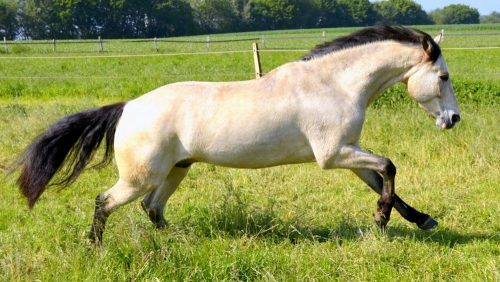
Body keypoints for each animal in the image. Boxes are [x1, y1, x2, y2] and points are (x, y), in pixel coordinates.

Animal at [15, 25, 460, 243]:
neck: (333, 83)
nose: (453, 119)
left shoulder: (347, 153)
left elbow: (384, 180)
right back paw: (94, 247)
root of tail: (127, 108)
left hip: (176, 170)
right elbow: (389, 166)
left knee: (152, 209)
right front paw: (382, 221)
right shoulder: (334, 154)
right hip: (141, 177)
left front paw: (421, 220)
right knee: (105, 202)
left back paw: (180, 241)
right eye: (442, 76)